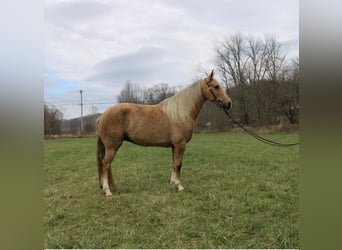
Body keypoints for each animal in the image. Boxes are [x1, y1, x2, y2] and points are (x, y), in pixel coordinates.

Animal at [95, 69, 232, 196]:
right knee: (105, 165)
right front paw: (179, 186)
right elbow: (178, 164)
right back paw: (107, 191)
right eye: (216, 86)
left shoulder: (174, 146)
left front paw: (173, 182)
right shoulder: (180, 145)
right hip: (112, 147)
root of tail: (102, 116)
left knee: (107, 166)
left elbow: (174, 164)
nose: (229, 103)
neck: (181, 113)